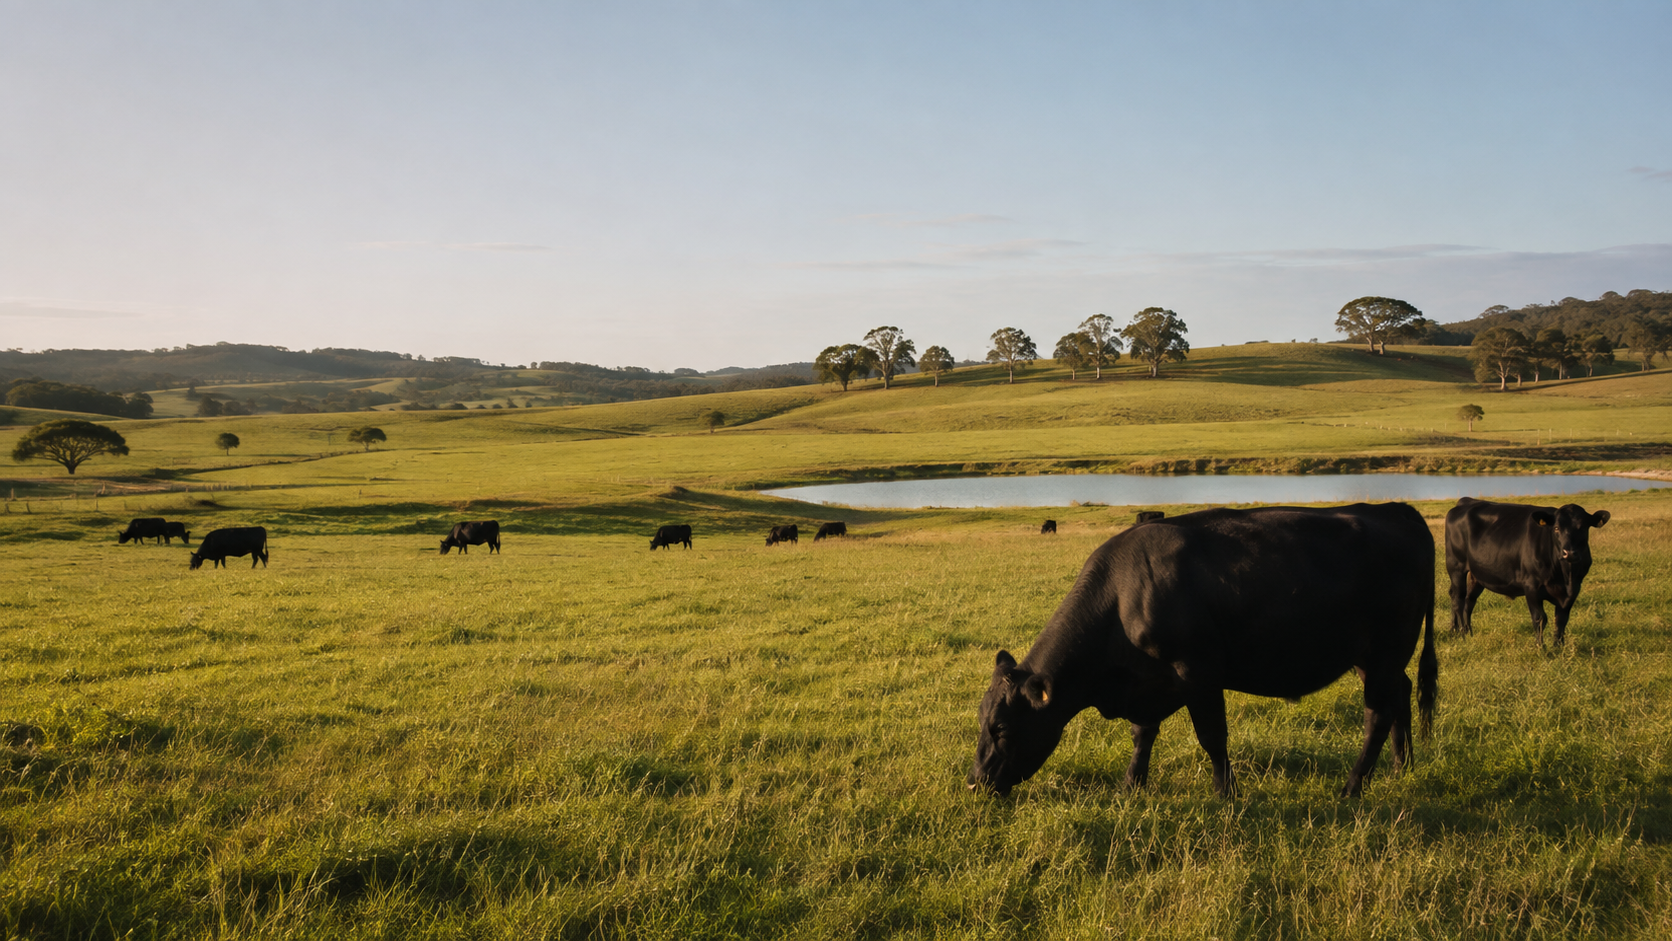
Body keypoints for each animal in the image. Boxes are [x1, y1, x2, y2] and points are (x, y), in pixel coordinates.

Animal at [968, 503, 1437, 800]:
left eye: (1002, 728)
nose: (975, 782)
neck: (1122, 599)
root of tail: (1398, 510)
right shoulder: (1153, 683)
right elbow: (1142, 733)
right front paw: (1132, 785)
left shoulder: (1198, 673)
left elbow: (1211, 736)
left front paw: (1224, 793)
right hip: (1372, 658)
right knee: (1400, 698)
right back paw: (1403, 767)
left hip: (1386, 652)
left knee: (1377, 716)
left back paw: (1352, 788)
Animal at [1444, 497, 1610, 647]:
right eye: (1556, 528)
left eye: (1583, 527)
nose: (1569, 553)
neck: (1565, 575)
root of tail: (1467, 501)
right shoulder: (1531, 586)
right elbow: (1540, 618)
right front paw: (1541, 648)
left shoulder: (1574, 590)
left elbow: (1561, 620)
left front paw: (1559, 647)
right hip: (1456, 566)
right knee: (1458, 598)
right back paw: (1461, 634)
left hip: (1476, 575)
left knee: (1468, 599)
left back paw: (1464, 632)